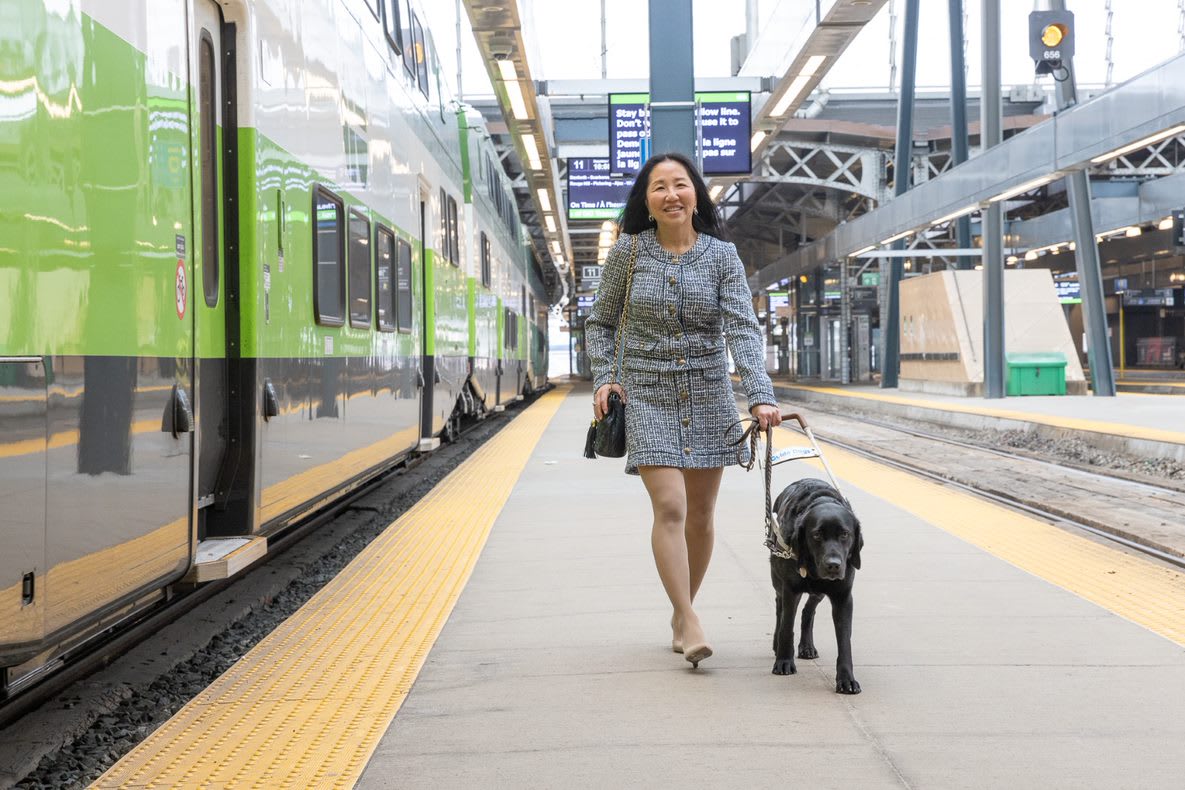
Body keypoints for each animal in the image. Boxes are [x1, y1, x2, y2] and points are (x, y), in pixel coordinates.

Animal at [767, 476, 862, 691]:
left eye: (845, 534)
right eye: (817, 535)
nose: (833, 565)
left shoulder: (843, 597)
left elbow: (845, 640)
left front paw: (846, 679)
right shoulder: (791, 590)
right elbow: (787, 626)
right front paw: (784, 662)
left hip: (819, 591)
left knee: (808, 611)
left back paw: (807, 647)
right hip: (778, 580)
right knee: (779, 609)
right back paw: (777, 644)